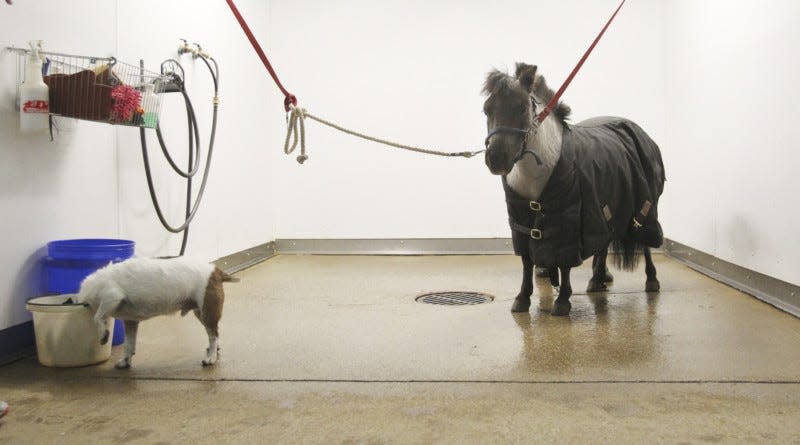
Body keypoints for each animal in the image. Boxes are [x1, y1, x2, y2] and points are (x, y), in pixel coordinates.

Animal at [77, 256, 238, 368]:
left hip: (207, 311)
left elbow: (97, 317)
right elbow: (129, 344)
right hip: (201, 312)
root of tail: (216, 270)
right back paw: (213, 349)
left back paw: (211, 358)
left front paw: (103, 335)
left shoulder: (112, 296)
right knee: (215, 332)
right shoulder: (130, 321)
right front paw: (125, 361)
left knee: (213, 334)